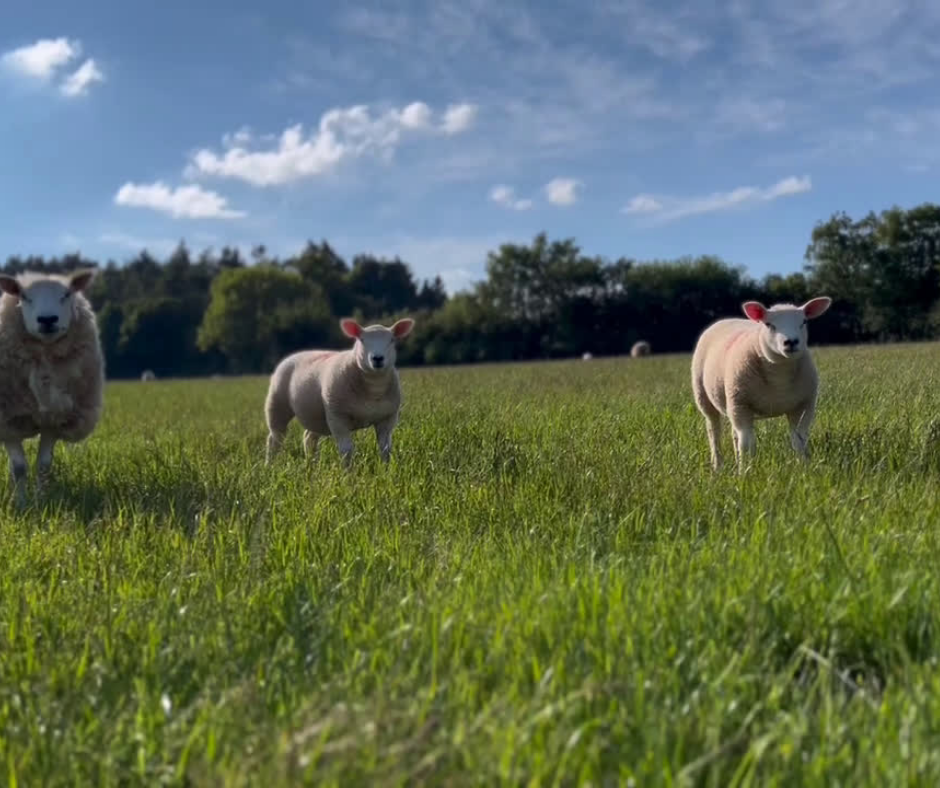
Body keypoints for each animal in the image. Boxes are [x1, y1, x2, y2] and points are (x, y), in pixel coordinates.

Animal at [0, 269, 105, 502]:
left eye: (66, 295)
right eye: (24, 296)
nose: (47, 319)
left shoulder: (54, 419)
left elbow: (43, 466)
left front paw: (41, 501)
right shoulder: (8, 420)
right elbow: (19, 468)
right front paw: (21, 503)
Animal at [265, 317, 416, 468]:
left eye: (392, 340)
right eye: (362, 340)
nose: (377, 358)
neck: (373, 389)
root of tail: (294, 355)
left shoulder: (387, 419)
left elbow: (385, 449)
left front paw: (386, 469)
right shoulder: (337, 417)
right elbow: (347, 451)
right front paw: (348, 473)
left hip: (315, 415)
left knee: (309, 438)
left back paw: (312, 465)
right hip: (277, 404)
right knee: (275, 438)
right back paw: (270, 465)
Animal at [691, 297, 832, 471]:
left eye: (803, 322)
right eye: (768, 324)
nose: (791, 342)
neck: (779, 379)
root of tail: (726, 320)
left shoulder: (804, 406)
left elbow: (799, 440)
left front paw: (804, 467)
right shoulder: (741, 404)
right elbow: (746, 444)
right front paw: (745, 472)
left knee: (734, 435)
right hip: (705, 397)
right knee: (714, 432)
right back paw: (717, 467)